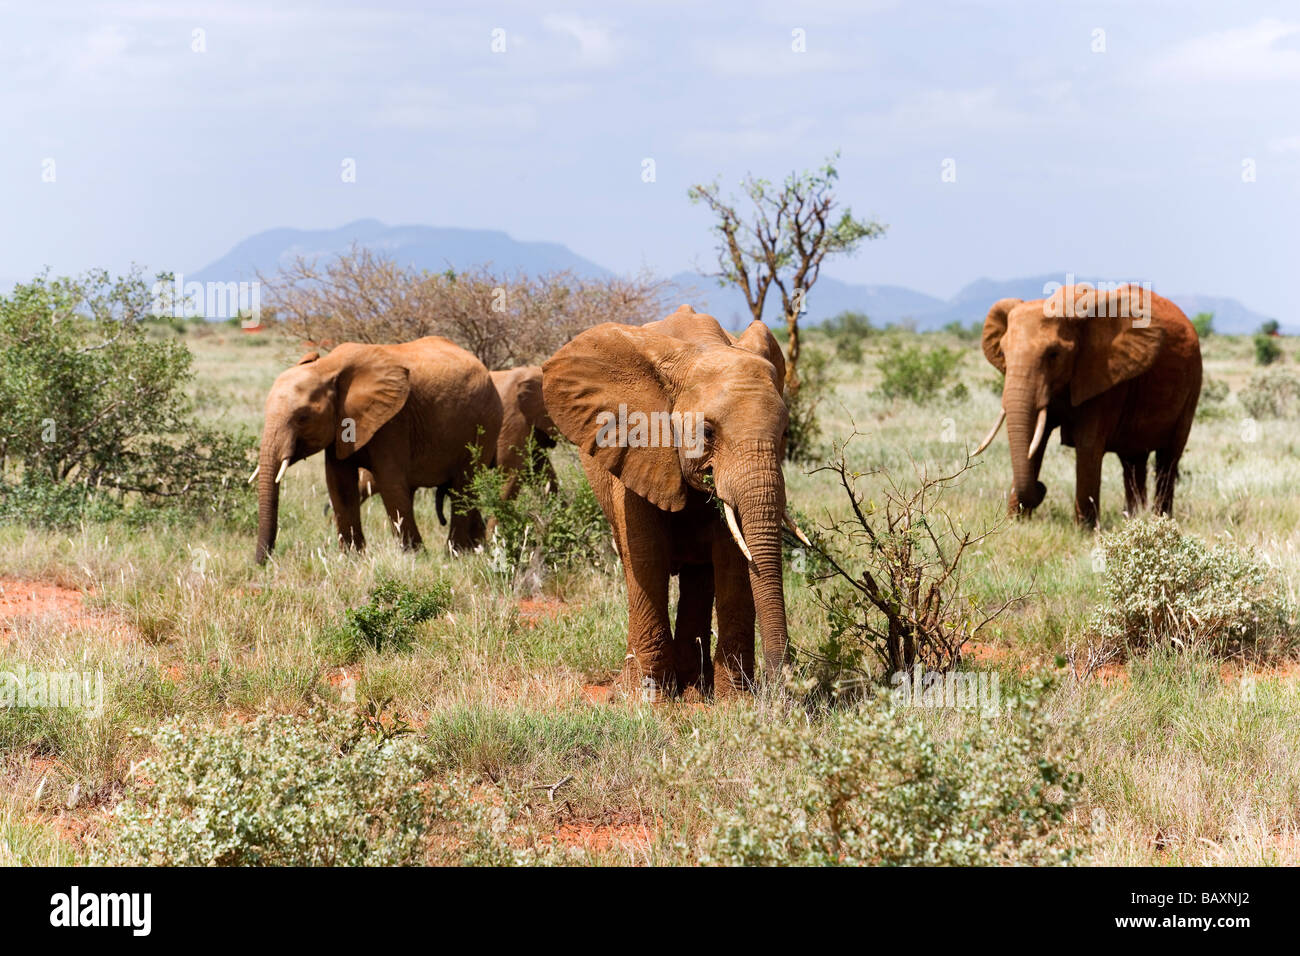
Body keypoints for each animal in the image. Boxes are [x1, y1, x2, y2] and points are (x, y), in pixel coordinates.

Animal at [253, 335, 501, 561]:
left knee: (463, 487)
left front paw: (416, 558)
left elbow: (390, 483)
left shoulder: (392, 421)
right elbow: (340, 486)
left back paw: (455, 555)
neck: (328, 367)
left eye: (303, 418)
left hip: (485, 424)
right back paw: (476, 551)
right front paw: (353, 559)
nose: (263, 563)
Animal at [538, 306, 800, 702]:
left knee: (699, 575)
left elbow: (734, 558)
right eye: (707, 432)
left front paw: (733, 702)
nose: (781, 688)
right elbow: (647, 554)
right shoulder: (636, 446)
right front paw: (648, 699)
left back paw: (695, 689)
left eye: (785, 432)